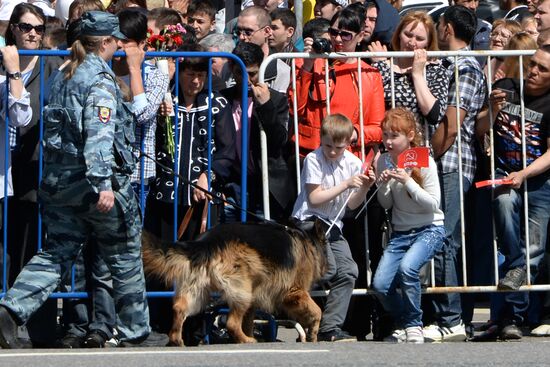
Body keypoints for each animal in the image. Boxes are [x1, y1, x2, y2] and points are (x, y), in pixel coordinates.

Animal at [142, 220, 330, 346]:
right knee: (232, 323)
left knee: (180, 309)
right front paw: (313, 335)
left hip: (198, 291)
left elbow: (248, 321)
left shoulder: (256, 299)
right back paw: (245, 340)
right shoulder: (294, 292)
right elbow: (317, 311)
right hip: (242, 290)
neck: (306, 238)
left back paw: (177, 340)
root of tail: (206, 242)